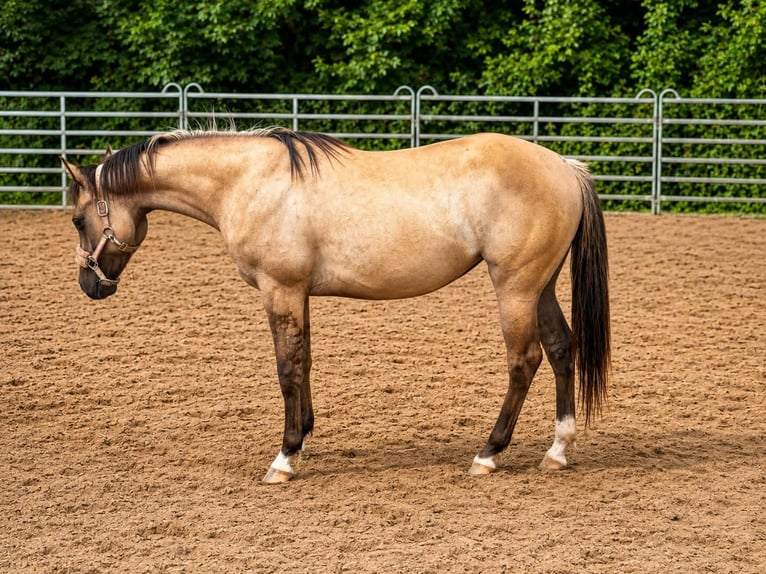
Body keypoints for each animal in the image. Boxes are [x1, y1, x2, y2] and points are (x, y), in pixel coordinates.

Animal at [61, 127, 610, 484]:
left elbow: (286, 368)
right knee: (561, 350)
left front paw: (284, 458)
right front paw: (303, 436)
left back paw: (488, 454)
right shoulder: (297, 294)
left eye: (77, 219)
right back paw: (557, 451)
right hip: (540, 286)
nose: (91, 286)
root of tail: (565, 168)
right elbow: (304, 362)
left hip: (515, 286)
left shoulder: (279, 289)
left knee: (524, 361)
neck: (249, 181)